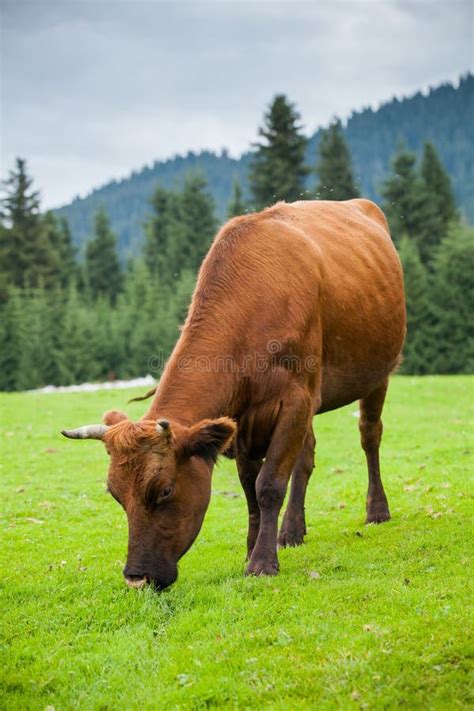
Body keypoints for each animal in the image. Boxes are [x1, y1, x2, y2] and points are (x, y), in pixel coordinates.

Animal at [61, 199, 406, 588]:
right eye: (116, 494)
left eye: (164, 490)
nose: (137, 578)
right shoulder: (243, 419)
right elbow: (250, 487)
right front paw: (253, 549)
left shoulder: (295, 399)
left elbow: (269, 485)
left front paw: (262, 564)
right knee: (305, 456)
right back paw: (291, 531)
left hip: (377, 374)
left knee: (369, 436)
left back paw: (377, 510)